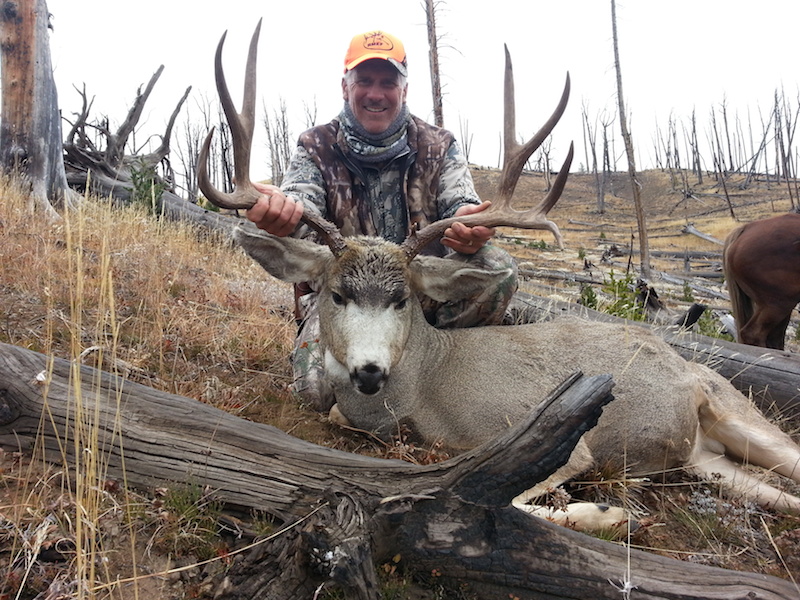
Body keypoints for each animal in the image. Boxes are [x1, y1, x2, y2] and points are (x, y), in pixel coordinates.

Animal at [198, 23, 800, 532]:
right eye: (337, 294)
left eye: (403, 300)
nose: (370, 370)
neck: (426, 391)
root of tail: (682, 360)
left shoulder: (557, 435)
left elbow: (508, 501)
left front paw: (609, 512)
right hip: (711, 461)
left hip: (735, 407)